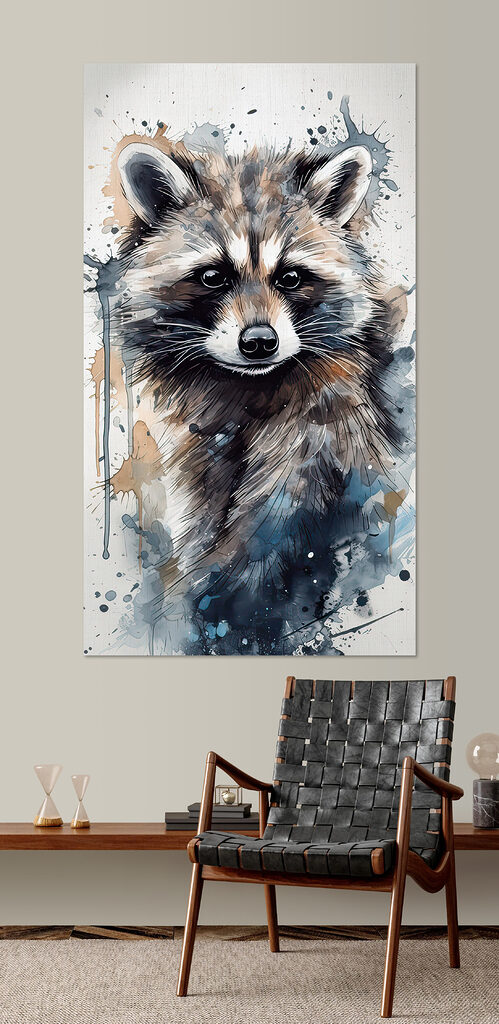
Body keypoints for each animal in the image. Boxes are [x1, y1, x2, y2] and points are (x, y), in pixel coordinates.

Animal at [112, 139, 403, 653]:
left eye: (290, 277)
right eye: (212, 277)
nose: (260, 342)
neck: (246, 386)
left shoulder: (319, 432)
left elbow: (268, 533)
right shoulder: (197, 449)